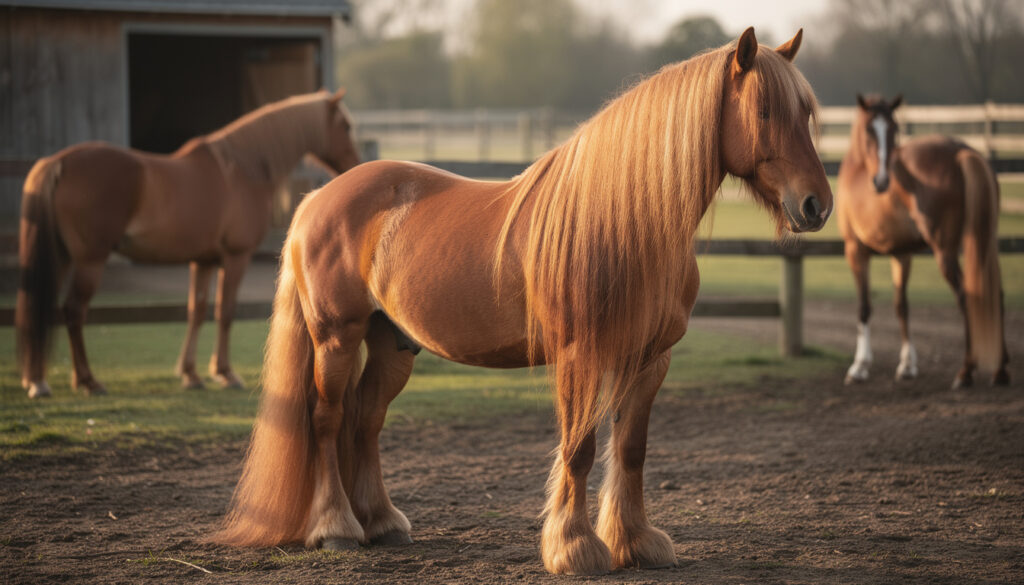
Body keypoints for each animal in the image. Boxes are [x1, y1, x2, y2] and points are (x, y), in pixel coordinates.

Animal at [16, 89, 361, 399]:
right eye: (345, 126)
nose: (354, 165)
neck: (242, 169)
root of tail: (58, 162)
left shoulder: (204, 261)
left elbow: (197, 310)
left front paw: (191, 374)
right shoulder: (236, 257)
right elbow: (225, 311)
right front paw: (226, 373)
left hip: (61, 258)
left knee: (40, 306)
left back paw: (38, 381)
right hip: (90, 261)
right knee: (74, 311)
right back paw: (88, 381)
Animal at [213, 28, 831, 575]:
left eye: (806, 113)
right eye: (765, 111)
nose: (816, 206)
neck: (625, 225)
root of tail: (319, 196)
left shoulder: (649, 360)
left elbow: (630, 449)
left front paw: (636, 544)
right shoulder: (581, 357)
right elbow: (579, 449)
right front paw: (576, 550)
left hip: (393, 344)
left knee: (365, 419)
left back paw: (383, 523)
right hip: (337, 337)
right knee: (326, 417)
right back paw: (337, 529)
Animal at [837, 94, 1009, 388]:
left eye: (893, 129)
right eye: (871, 130)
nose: (881, 180)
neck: (858, 166)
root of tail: (962, 152)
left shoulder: (855, 250)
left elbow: (864, 308)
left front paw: (859, 366)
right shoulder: (901, 254)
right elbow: (901, 306)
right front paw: (907, 365)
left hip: (945, 251)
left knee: (966, 296)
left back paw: (965, 371)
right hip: (985, 243)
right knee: (994, 295)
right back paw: (1000, 370)